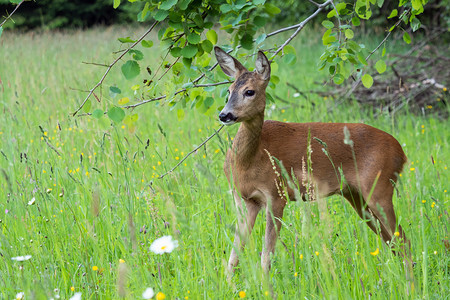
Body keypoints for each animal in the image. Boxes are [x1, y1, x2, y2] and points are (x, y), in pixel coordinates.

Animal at [214, 46, 412, 274]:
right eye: (229, 91)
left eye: (249, 91)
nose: (224, 115)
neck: (249, 161)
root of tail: (401, 152)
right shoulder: (243, 200)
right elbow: (233, 256)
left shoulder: (277, 195)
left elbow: (266, 257)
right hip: (357, 197)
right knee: (392, 241)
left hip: (380, 188)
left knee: (403, 241)